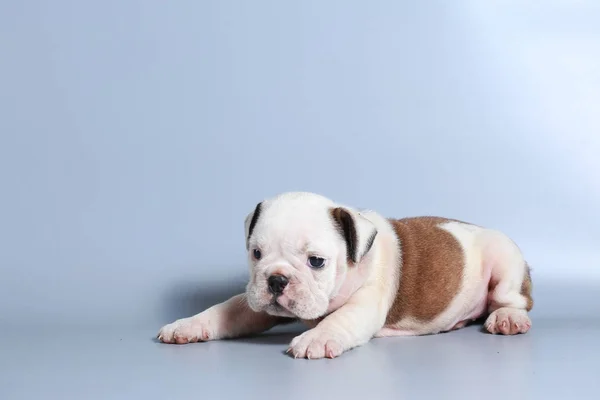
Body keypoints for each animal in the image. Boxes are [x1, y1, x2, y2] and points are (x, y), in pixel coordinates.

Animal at [157, 191, 532, 360]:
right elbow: (226, 311)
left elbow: (339, 319)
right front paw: (187, 325)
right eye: (256, 254)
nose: (276, 280)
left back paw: (507, 319)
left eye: (316, 261)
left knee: (513, 299)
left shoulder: (364, 303)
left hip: (505, 263)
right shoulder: (254, 303)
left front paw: (315, 338)